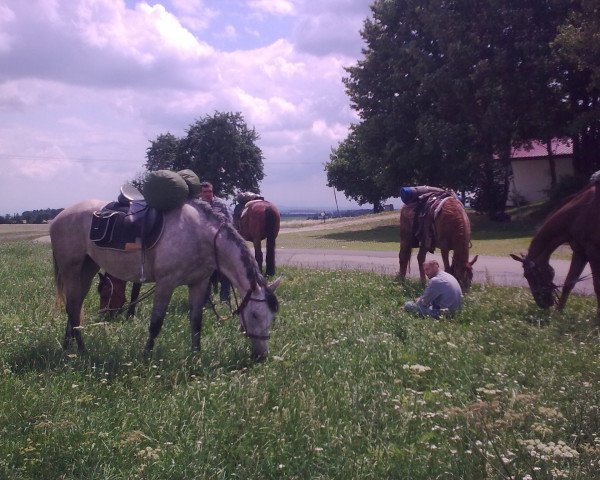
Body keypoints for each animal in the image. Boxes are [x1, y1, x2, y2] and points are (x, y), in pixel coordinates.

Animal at [49, 198, 282, 360]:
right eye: (254, 315)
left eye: (272, 317)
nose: (261, 357)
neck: (200, 236)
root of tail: (59, 217)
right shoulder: (166, 283)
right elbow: (156, 323)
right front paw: (146, 357)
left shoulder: (199, 284)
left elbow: (196, 322)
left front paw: (195, 356)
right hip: (71, 269)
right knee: (72, 307)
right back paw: (82, 350)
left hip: (87, 268)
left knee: (75, 305)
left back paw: (68, 346)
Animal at [510, 181, 600, 326]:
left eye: (528, 275)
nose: (542, 303)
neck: (580, 212)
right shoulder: (580, 252)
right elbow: (569, 283)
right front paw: (559, 314)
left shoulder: (593, 252)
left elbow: (597, 285)